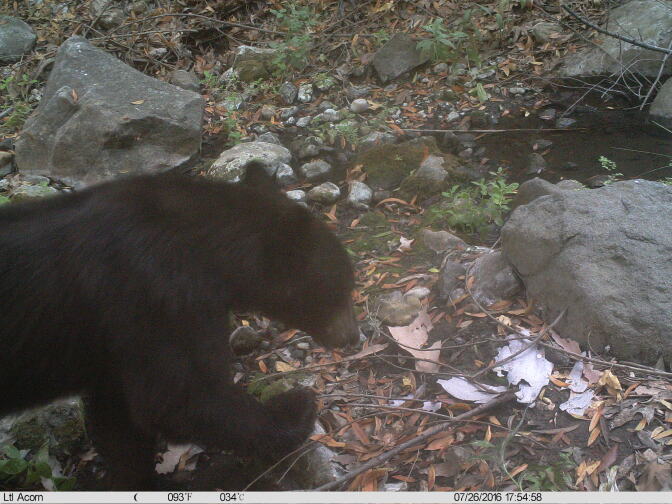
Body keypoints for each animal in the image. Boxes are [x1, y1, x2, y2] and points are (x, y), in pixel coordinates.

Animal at [0, 162, 358, 489]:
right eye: (340, 289)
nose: (353, 336)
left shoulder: (114, 350)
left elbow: (119, 419)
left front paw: (138, 478)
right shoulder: (159, 298)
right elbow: (179, 398)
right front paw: (295, 409)